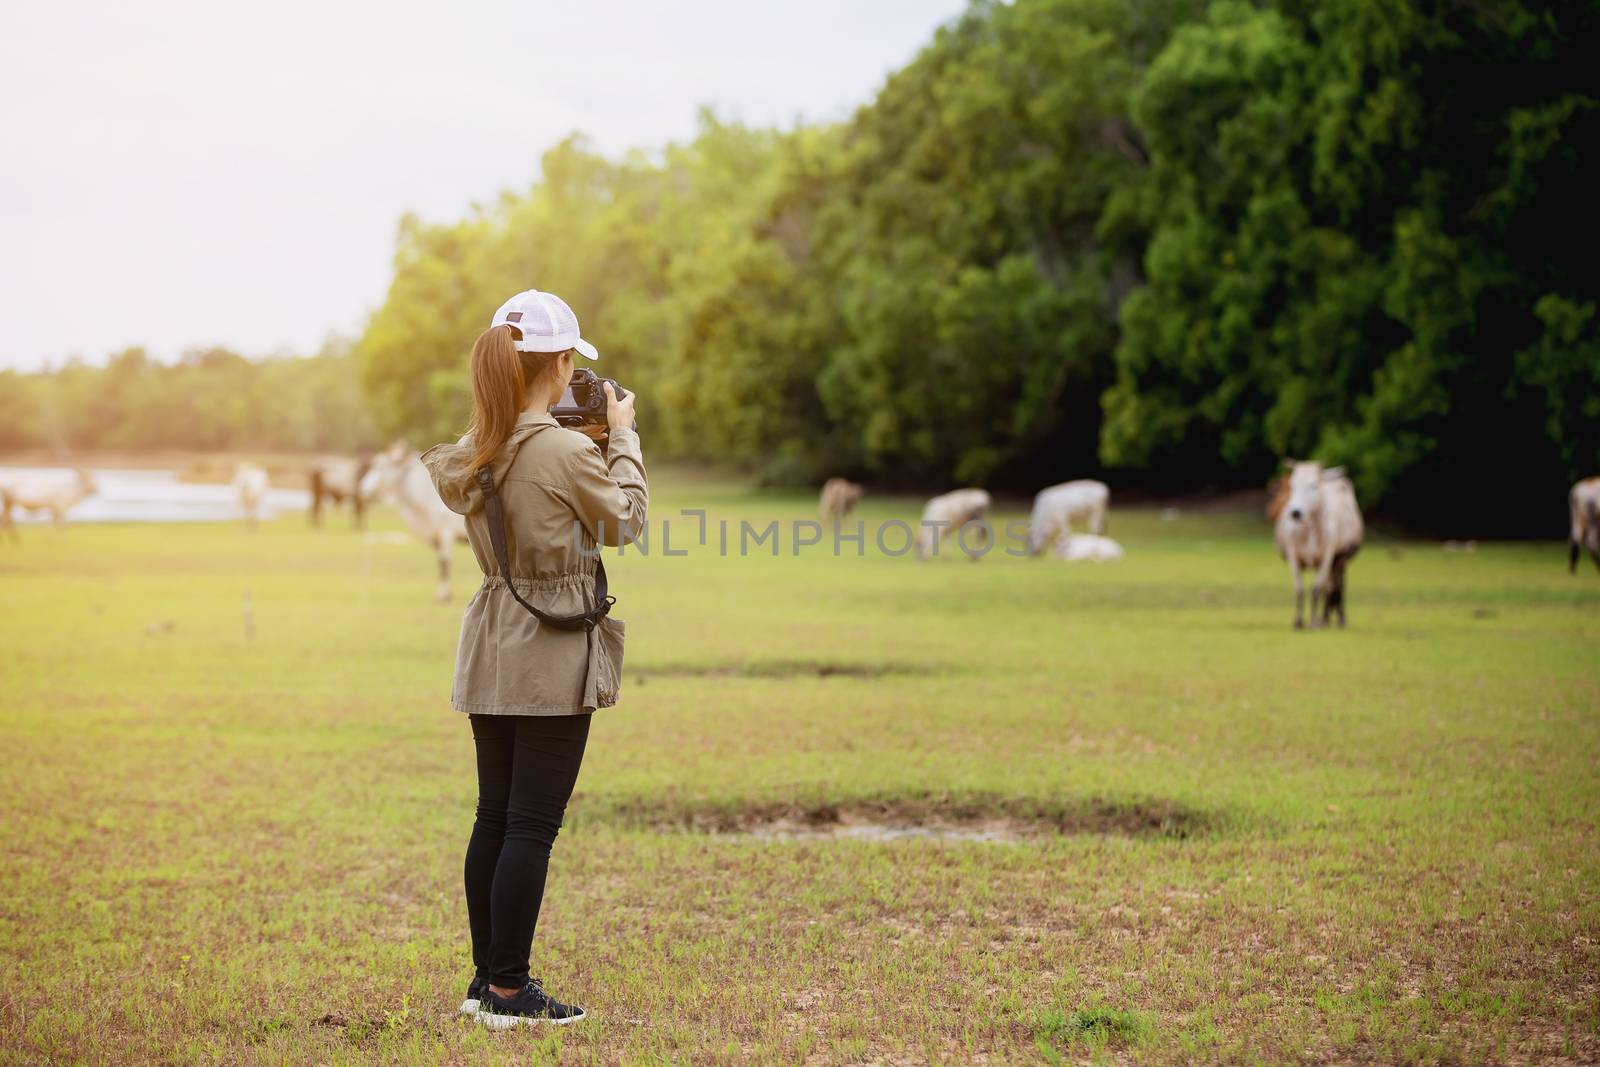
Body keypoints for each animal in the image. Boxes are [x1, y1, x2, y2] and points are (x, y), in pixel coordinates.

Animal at [360, 441, 467, 604]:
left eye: (379, 465)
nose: (362, 490)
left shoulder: (446, 533)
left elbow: (444, 563)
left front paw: (444, 596)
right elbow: (440, 563)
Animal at [1273, 460, 1363, 627]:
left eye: (1314, 485)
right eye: (1292, 485)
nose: (1296, 513)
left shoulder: (1327, 556)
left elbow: (1317, 588)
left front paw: (1314, 623)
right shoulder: (1293, 556)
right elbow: (1300, 589)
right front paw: (1298, 621)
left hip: (1340, 560)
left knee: (1338, 585)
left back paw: (1337, 618)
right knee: (1330, 587)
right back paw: (1326, 617)